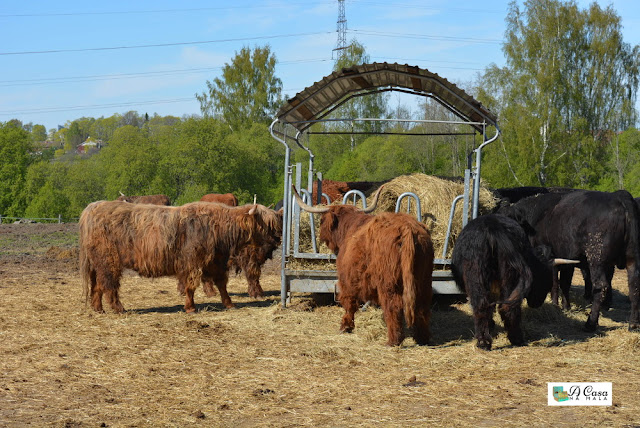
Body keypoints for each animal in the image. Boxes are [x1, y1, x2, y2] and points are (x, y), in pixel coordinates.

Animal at [78, 199, 282, 312]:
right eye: (267, 224)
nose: (278, 238)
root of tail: (93, 208)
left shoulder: (215, 262)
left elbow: (221, 284)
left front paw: (229, 303)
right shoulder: (192, 262)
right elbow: (190, 286)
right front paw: (190, 307)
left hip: (98, 263)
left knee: (97, 285)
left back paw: (98, 309)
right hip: (108, 261)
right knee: (109, 284)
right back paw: (118, 308)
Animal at [296, 186, 436, 346]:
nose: (322, 237)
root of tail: (407, 229)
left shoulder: (346, 278)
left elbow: (349, 303)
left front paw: (346, 327)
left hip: (389, 284)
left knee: (393, 307)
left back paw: (393, 341)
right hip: (424, 280)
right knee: (423, 307)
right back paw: (422, 338)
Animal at [500, 190, 640, 332]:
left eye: (509, 220)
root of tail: (618, 195)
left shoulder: (551, 258)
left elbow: (555, 283)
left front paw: (555, 305)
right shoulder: (568, 260)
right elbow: (565, 283)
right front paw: (566, 306)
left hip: (597, 258)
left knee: (601, 286)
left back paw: (590, 323)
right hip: (632, 257)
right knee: (634, 285)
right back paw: (633, 324)